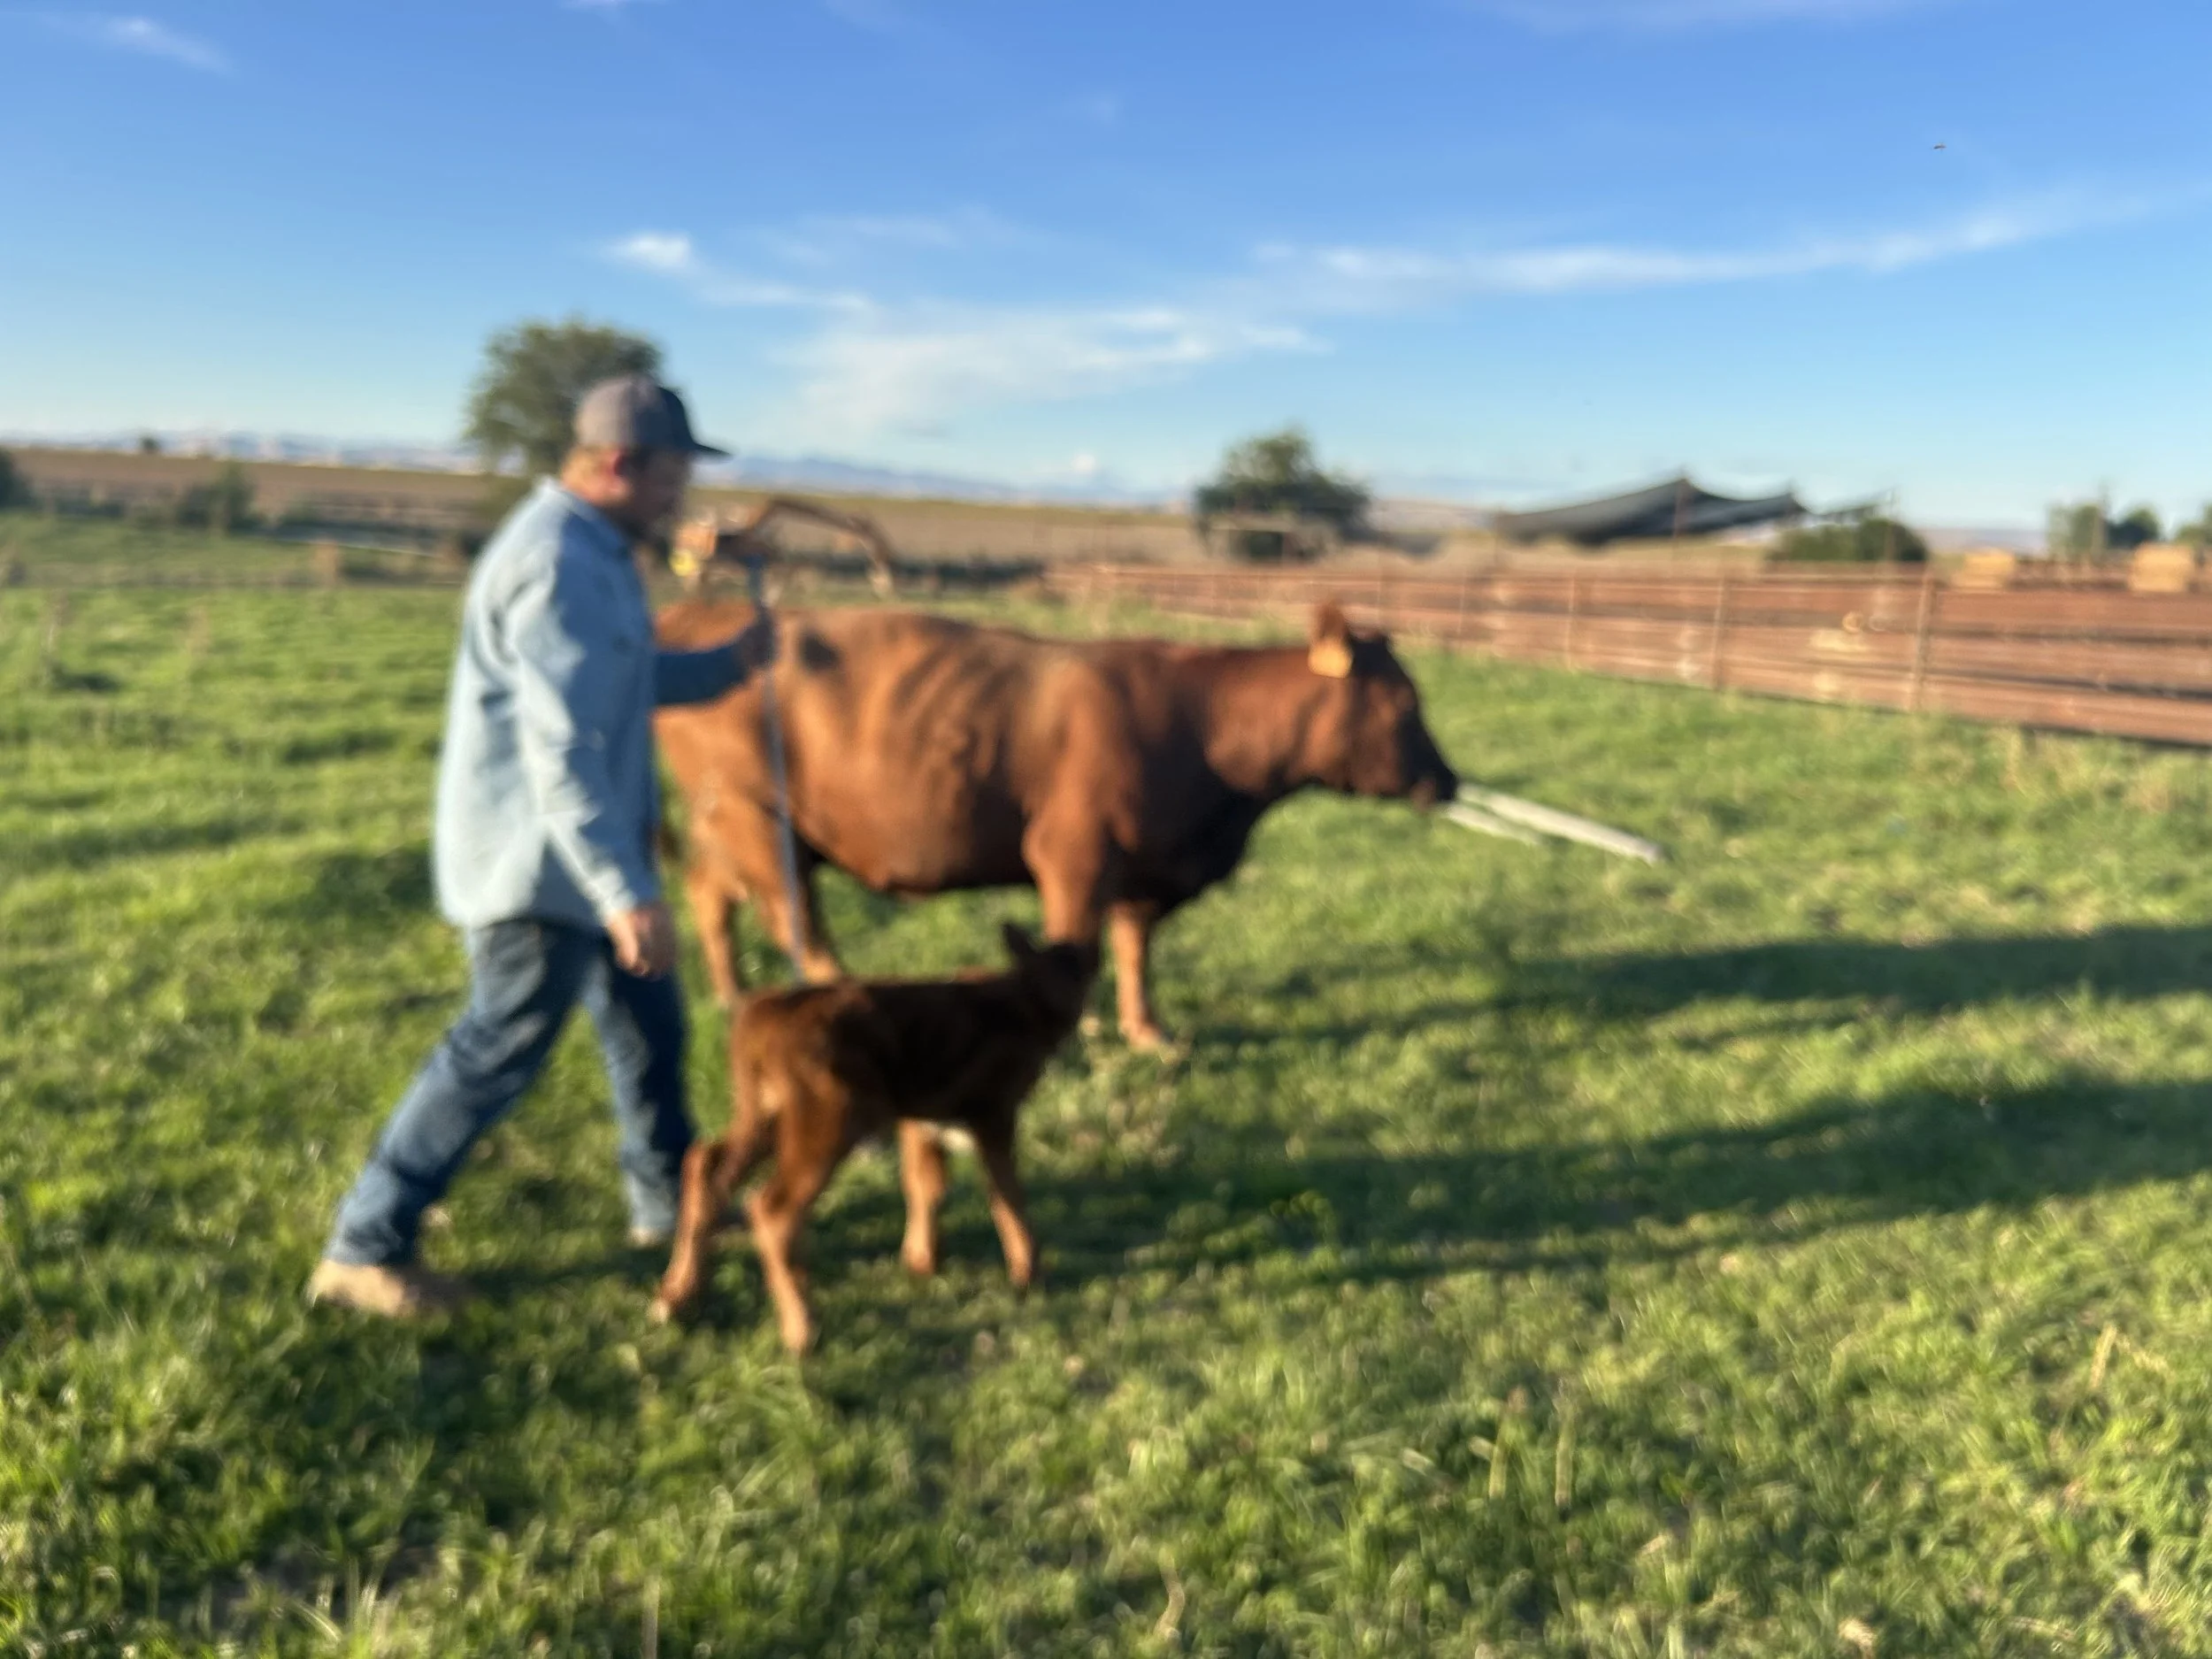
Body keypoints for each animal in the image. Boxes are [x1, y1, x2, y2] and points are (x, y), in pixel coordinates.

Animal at [652, 598, 1459, 1049]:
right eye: (1403, 705)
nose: (1448, 781)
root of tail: (701, 617)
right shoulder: (1073, 855)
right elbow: (1082, 946)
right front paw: (1078, 1034)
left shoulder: (1141, 868)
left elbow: (1133, 951)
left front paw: (1146, 1031)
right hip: (760, 823)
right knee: (803, 930)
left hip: (735, 831)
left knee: (710, 898)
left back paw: (730, 995)